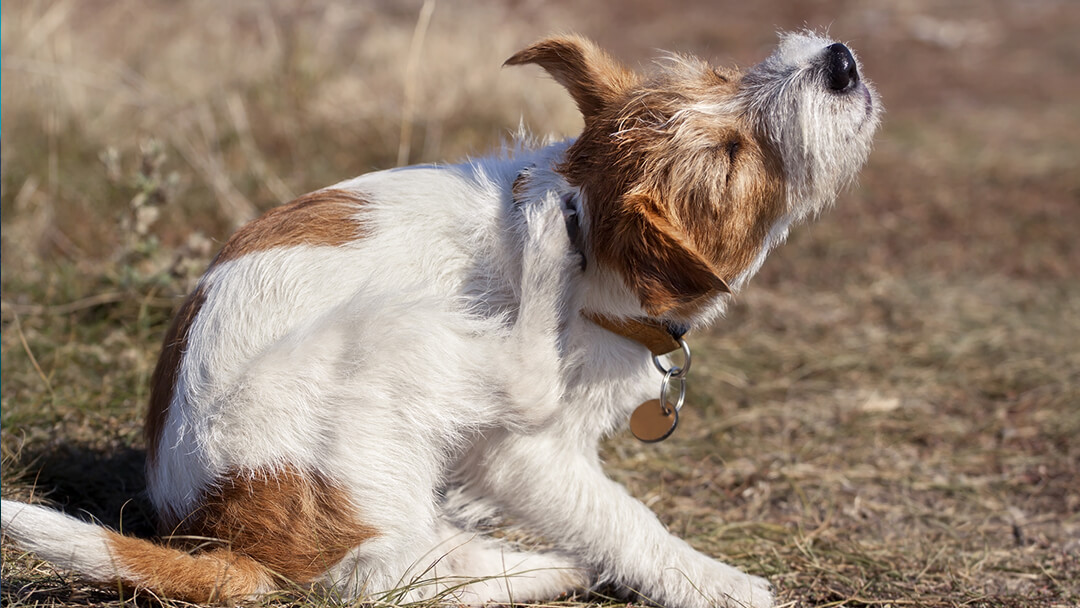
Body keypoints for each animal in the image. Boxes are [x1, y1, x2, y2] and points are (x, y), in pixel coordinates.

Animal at [2, 32, 876, 608]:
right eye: (732, 155)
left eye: (722, 73)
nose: (839, 60)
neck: (596, 236)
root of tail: (225, 536)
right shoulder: (527, 455)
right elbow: (620, 517)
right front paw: (714, 580)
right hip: (393, 332)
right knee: (391, 569)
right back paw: (540, 245)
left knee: (414, 565)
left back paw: (536, 565)